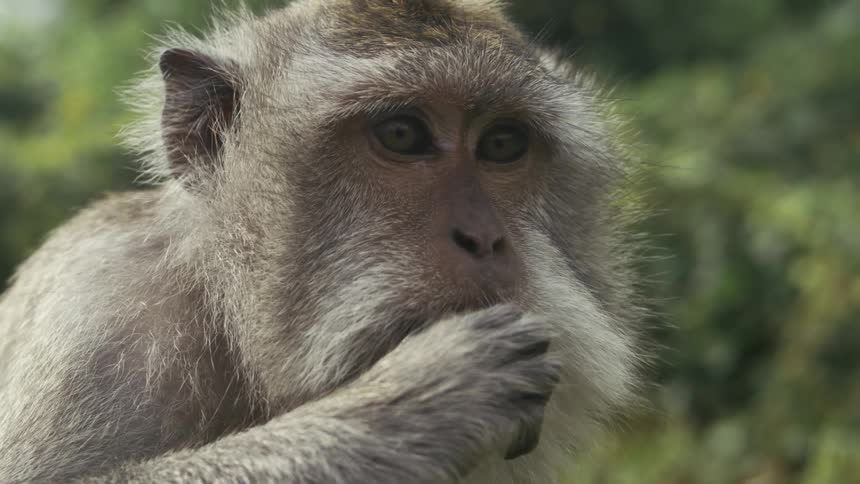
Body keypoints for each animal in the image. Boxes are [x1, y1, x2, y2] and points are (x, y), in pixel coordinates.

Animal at [0, 0, 643, 482]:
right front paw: (421, 398)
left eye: (503, 144)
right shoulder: (99, 306)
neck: (227, 313)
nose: (483, 238)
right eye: (402, 134)